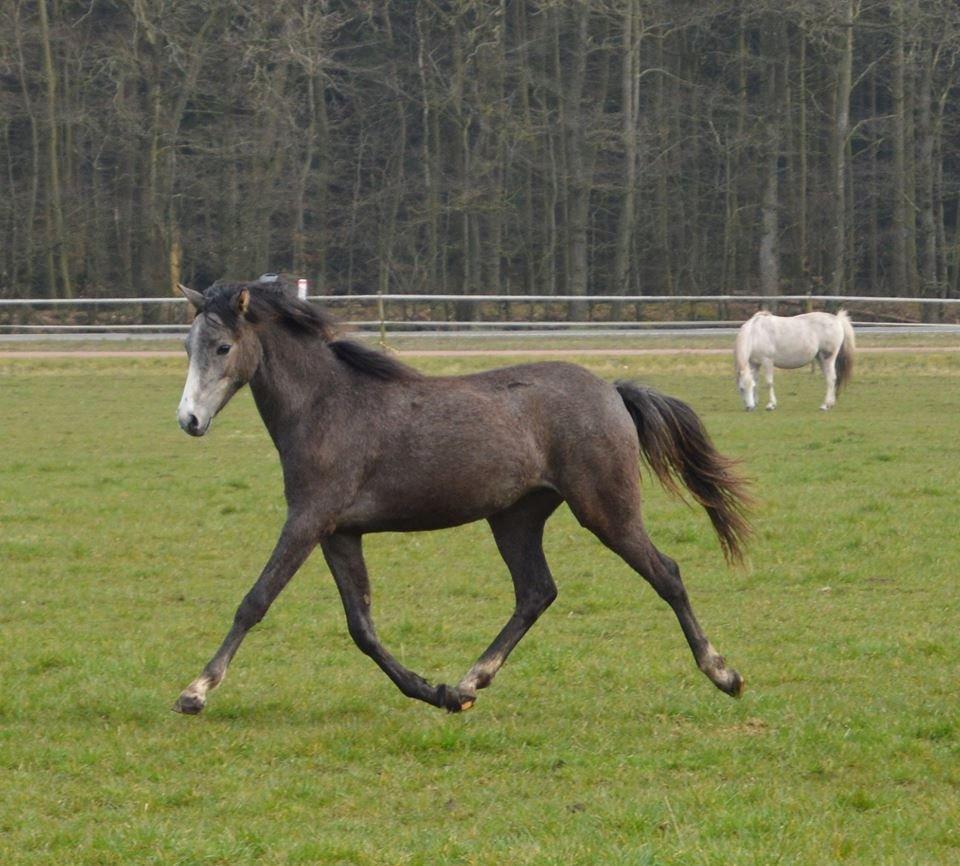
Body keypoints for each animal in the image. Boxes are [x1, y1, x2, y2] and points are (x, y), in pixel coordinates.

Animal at [732, 308, 860, 410]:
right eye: (741, 389)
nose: (750, 408)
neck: (755, 333)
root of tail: (837, 319)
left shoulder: (767, 361)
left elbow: (769, 383)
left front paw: (771, 405)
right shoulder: (754, 363)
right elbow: (756, 381)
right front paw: (756, 401)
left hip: (828, 358)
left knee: (831, 379)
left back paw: (825, 405)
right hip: (820, 358)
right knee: (830, 379)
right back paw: (830, 404)